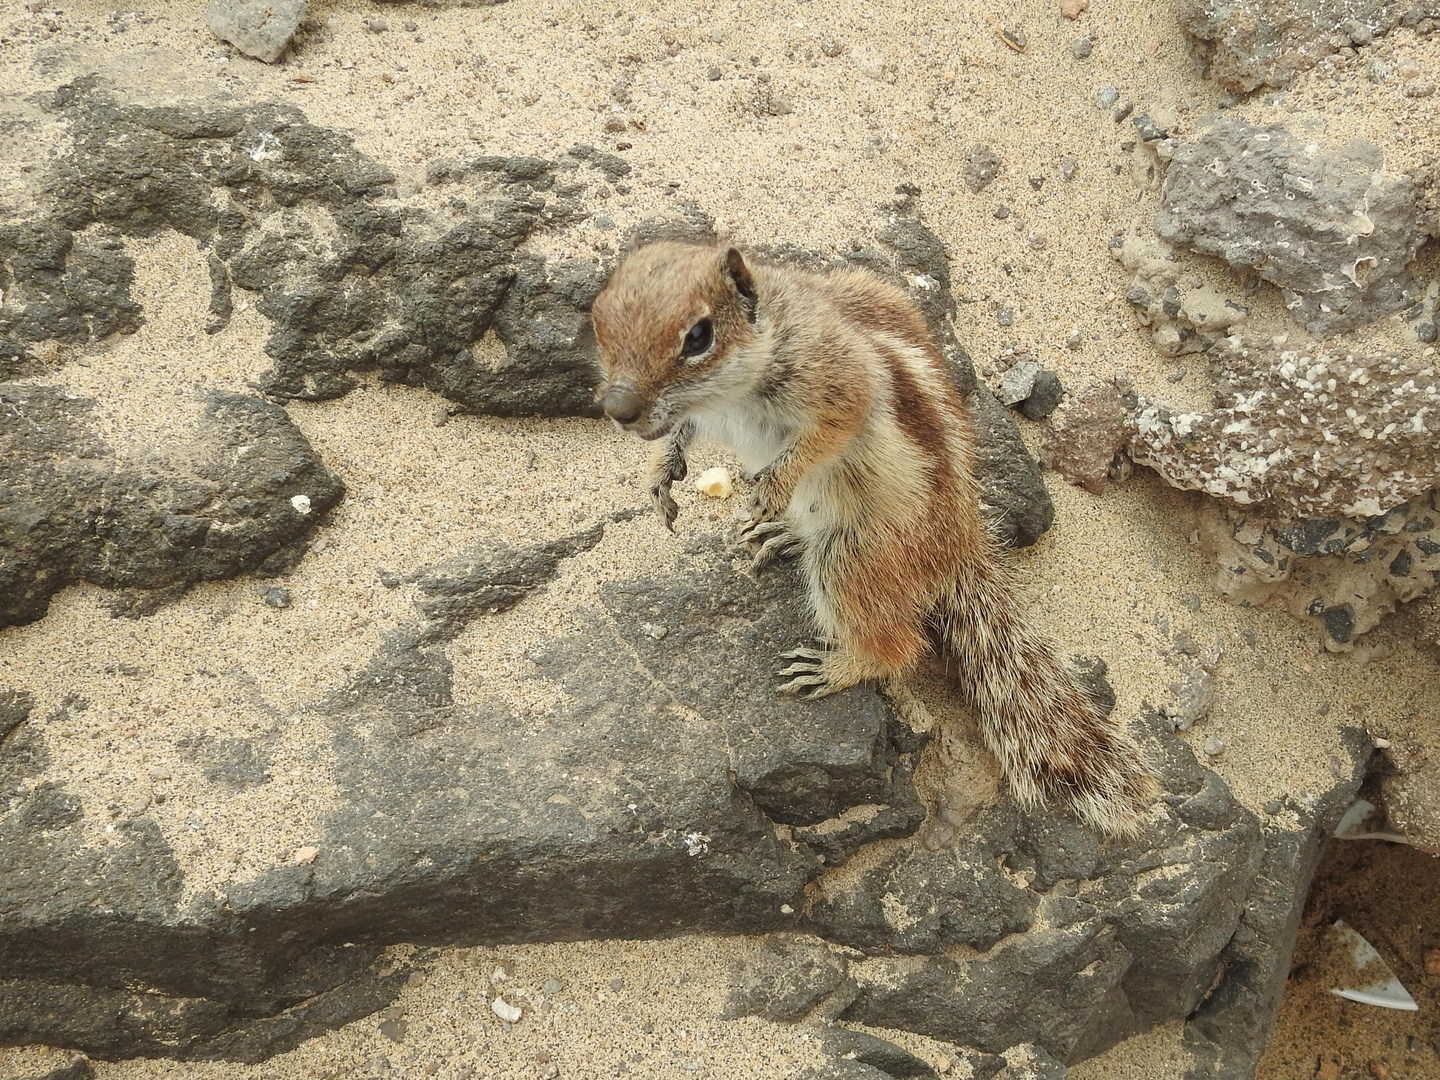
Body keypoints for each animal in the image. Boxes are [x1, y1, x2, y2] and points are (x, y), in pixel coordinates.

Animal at [584, 243, 1157, 835]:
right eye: (596, 321)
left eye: (698, 336)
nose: (617, 411)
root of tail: (961, 548)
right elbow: (680, 435)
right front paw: (660, 474)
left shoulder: (837, 380)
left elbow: (827, 431)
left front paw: (771, 487)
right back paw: (783, 532)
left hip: (852, 556)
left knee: (900, 647)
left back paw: (836, 664)